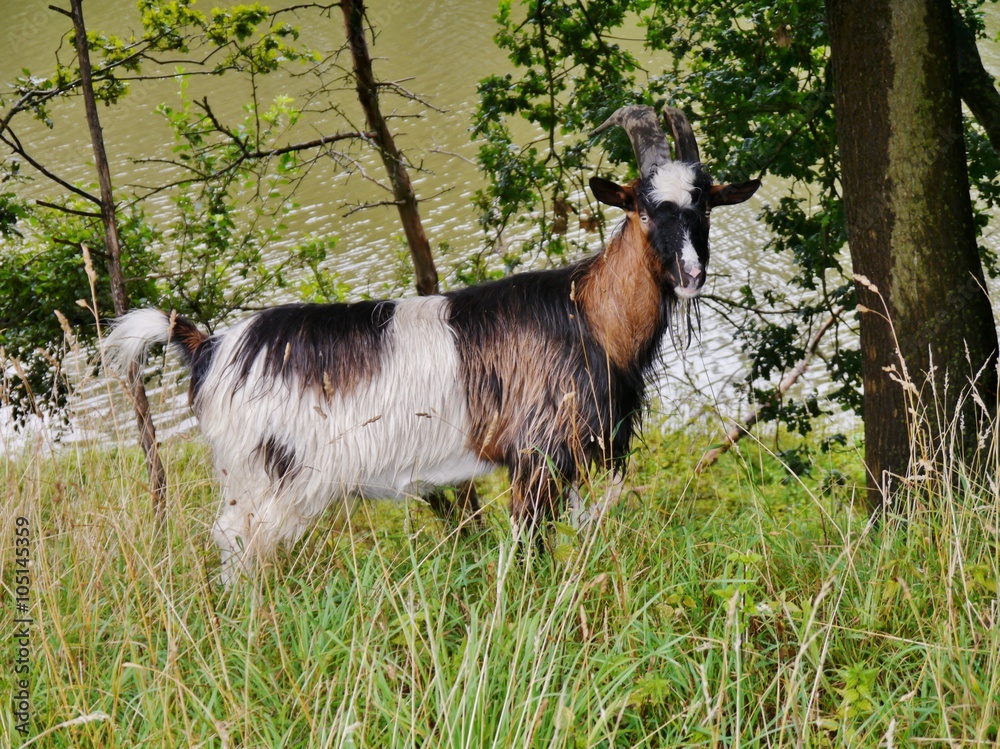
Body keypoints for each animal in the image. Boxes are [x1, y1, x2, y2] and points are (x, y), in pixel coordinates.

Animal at [103, 105, 759, 582]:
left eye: (704, 206)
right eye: (644, 209)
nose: (692, 273)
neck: (588, 314)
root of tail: (210, 347)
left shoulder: (572, 459)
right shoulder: (537, 453)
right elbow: (530, 545)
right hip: (268, 475)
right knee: (238, 546)